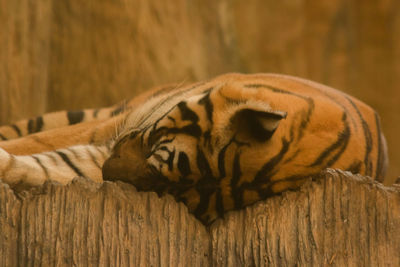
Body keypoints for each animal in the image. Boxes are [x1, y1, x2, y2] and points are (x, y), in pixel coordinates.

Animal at [0, 74, 388, 226]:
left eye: (164, 190)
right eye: (153, 144)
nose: (107, 176)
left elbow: (47, 165)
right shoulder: (111, 127)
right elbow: (37, 144)